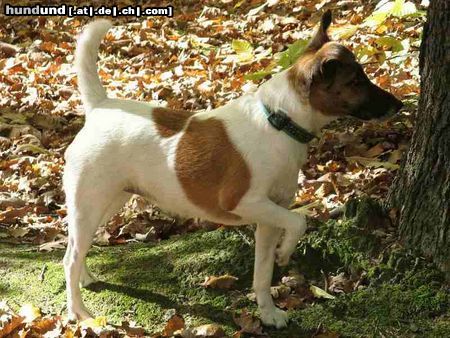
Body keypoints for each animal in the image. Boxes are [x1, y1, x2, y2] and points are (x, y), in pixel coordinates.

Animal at [62, 10, 400, 328]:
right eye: (355, 82)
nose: (399, 105)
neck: (279, 121)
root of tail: (100, 107)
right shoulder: (244, 203)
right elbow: (300, 221)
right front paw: (286, 253)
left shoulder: (270, 216)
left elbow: (263, 273)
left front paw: (268, 313)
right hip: (89, 204)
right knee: (70, 258)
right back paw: (79, 312)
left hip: (106, 203)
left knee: (76, 248)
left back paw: (86, 278)